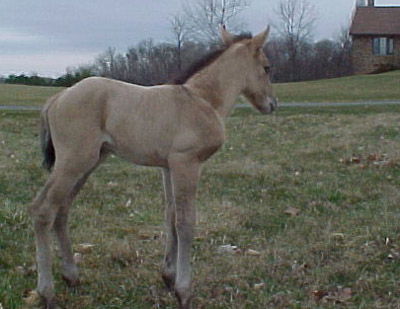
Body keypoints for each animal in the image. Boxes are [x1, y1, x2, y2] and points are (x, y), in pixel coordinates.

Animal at [29, 25, 276, 306]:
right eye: (267, 67)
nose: (272, 104)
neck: (203, 100)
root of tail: (57, 97)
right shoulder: (187, 162)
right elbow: (186, 222)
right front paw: (183, 291)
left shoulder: (168, 166)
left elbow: (171, 216)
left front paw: (168, 276)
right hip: (74, 161)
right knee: (42, 210)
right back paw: (47, 292)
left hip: (87, 163)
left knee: (61, 210)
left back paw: (71, 276)